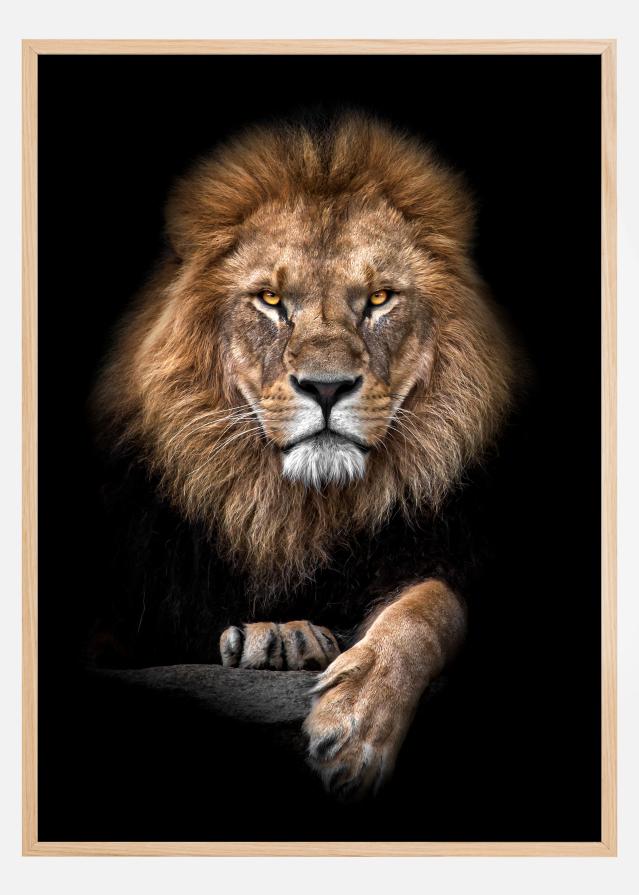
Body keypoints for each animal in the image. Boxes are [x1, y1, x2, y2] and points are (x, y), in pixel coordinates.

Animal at [92, 112, 519, 800]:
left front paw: (358, 725)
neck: (298, 512)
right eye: (270, 301)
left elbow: (431, 606)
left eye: (379, 299)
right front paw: (278, 636)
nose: (325, 387)